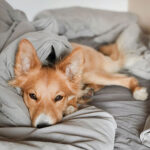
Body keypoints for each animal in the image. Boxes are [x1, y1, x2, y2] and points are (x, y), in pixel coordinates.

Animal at [9, 39, 148, 127]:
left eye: (58, 97)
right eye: (32, 96)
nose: (42, 126)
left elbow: (73, 93)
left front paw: (71, 105)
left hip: (90, 73)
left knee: (126, 78)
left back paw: (138, 91)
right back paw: (88, 92)